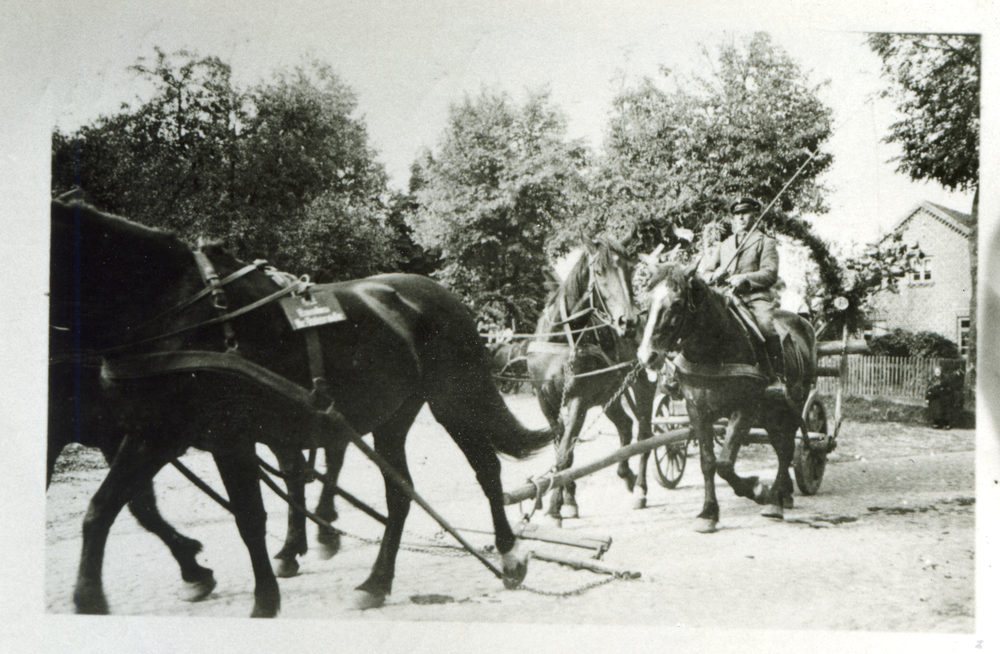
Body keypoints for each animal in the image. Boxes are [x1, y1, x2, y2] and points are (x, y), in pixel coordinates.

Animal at [52, 201, 564, 620]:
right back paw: (376, 582)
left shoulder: (228, 438)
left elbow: (248, 518)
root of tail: (443, 296)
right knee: (399, 495)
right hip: (390, 418)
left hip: (454, 400)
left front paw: (263, 599)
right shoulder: (152, 433)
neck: (179, 310)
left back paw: (509, 555)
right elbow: (103, 509)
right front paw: (90, 596)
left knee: (486, 470)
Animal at [524, 236, 656, 528]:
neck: (560, 338)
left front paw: (554, 507)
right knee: (625, 425)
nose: (628, 321)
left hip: (642, 384)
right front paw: (569, 500)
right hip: (610, 395)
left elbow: (564, 453)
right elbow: (563, 450)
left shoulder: (578, 401)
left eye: (629, 269)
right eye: (599, 272)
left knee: (644, 434)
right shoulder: (546, 402)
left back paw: (641, 489)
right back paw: (626, 474)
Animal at [636, 264, 816, 536]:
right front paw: (709, 513)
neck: (716, 349)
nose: (648, 356)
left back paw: (774, 500)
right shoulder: (697, 410)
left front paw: (756, 489)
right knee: (781, 448)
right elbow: (708, 462)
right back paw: (783, 495)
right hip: (771, 414)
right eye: (647, 302)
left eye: (677, 303)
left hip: (791, 405)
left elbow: (725, 463)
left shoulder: (745, 409)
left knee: (786, 449)